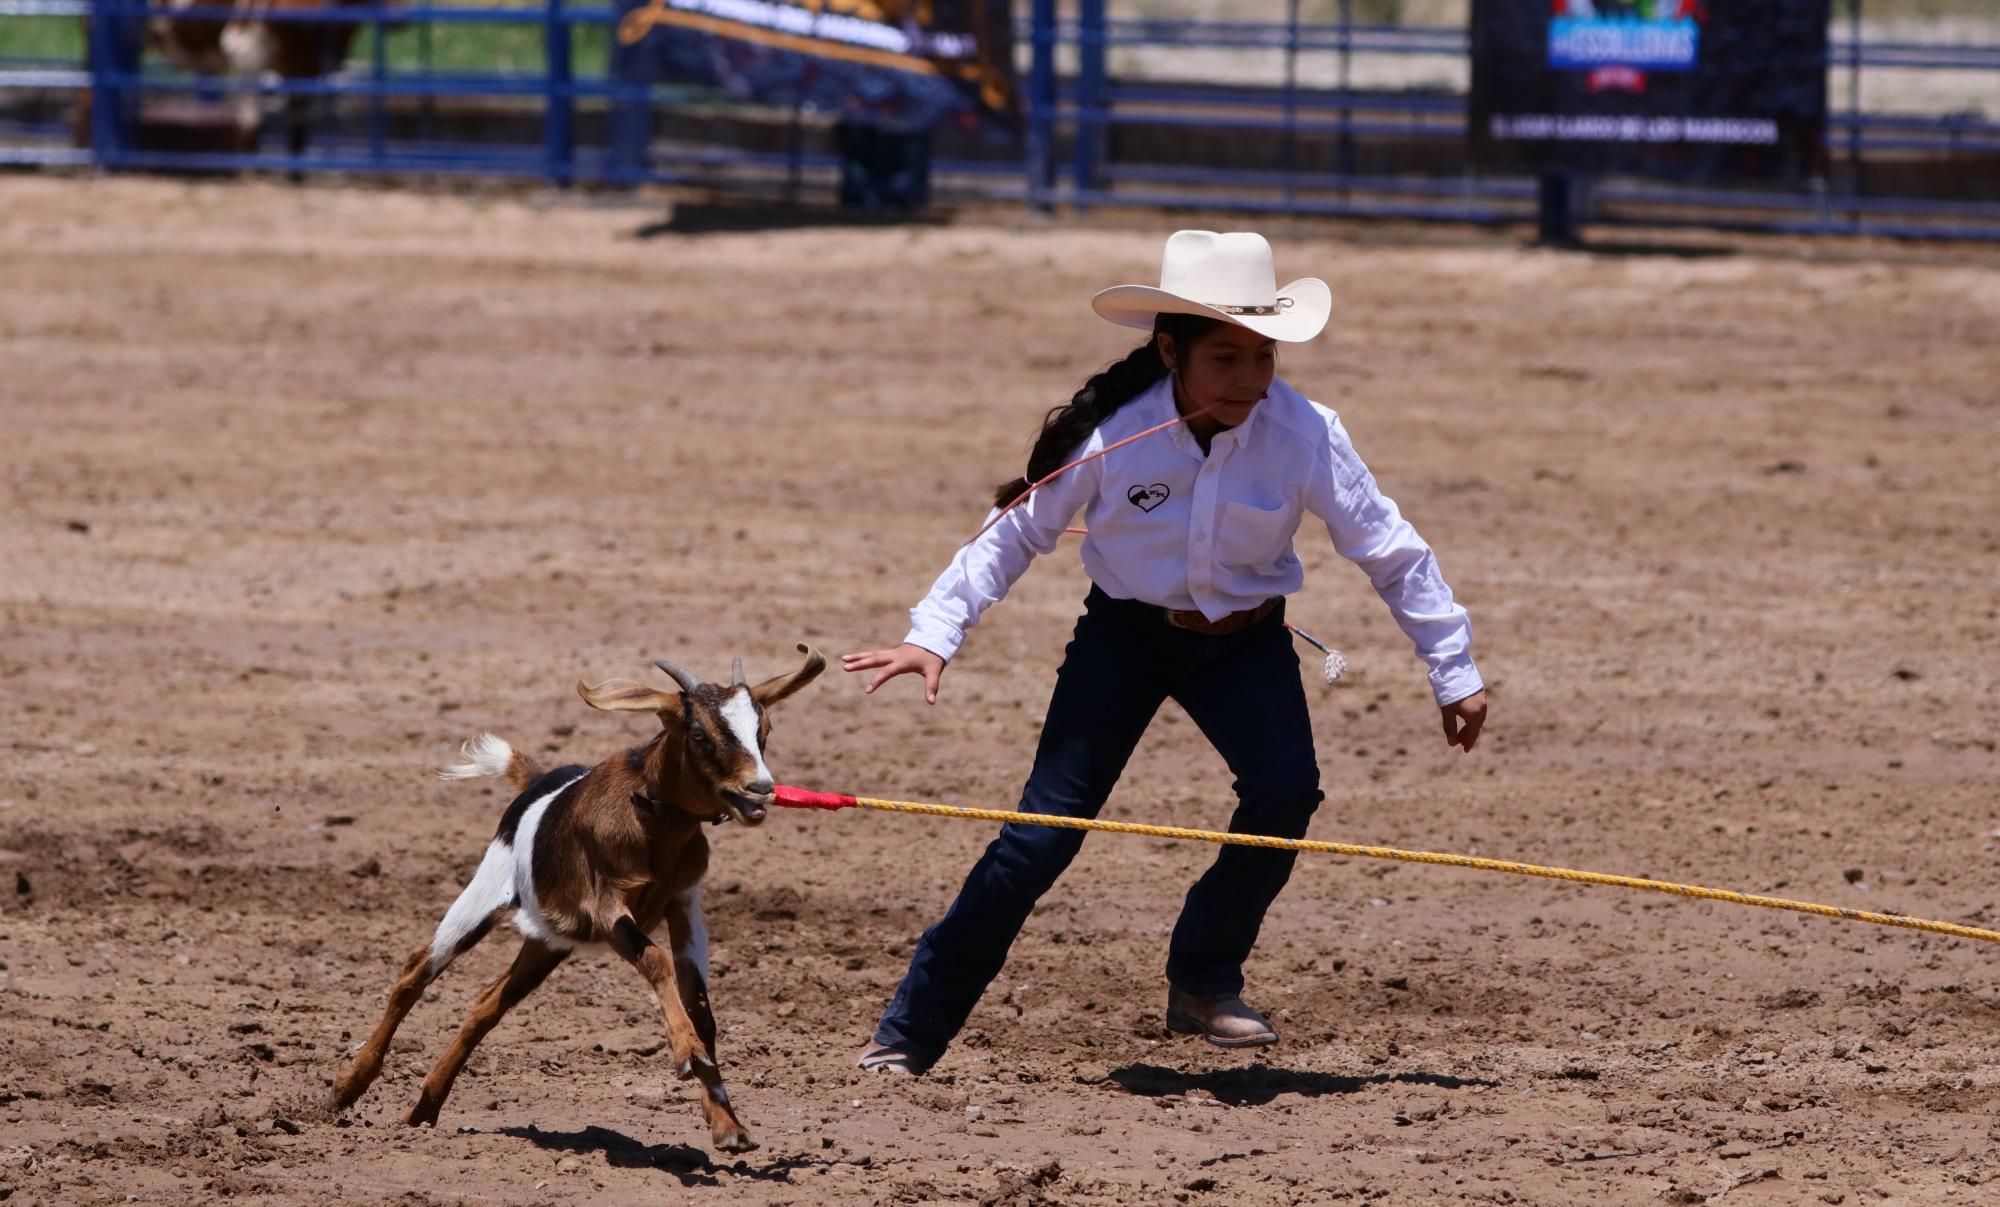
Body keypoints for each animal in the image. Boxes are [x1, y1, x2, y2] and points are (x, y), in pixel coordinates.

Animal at [328, 647, 820, 1159]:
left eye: (763, 731)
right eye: (701, 733)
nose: (759, 789)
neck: (648, 819)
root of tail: (538, 780)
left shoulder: (684, 904)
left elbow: (700, 1006)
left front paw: (729, 1125)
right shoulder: (606, 907)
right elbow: (656, 961)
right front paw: (688, 1056)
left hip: (547, 942)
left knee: (487, 1005)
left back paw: (424, 1109)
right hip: (481, 900)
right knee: (415, 974)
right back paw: (345, 1090)